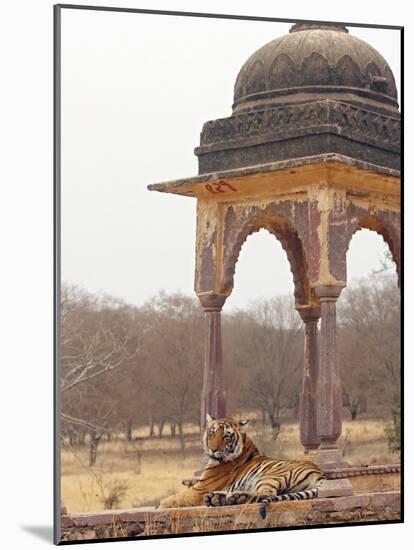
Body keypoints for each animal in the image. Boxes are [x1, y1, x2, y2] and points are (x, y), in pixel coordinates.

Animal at [160, 416, 326, 520]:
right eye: (212, 433)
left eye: (226, 436)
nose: (212, 450)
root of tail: (320, 474)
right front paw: (187, 481)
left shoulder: (199, 490)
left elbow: (173, 498)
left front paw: (160, 505)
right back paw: (219, 498)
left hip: (270, 476)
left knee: (265, 494)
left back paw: (233, 497)